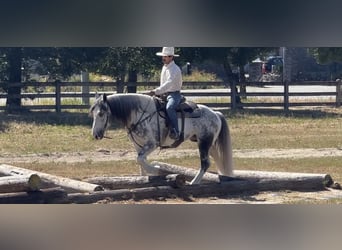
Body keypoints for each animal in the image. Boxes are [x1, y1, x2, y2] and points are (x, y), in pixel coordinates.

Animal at [88, 93, 234, 185]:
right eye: (92, 113)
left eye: (101, 114)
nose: (95, 135)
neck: (140, 114)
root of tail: (215, 113)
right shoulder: (138, 145)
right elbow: (140, 162)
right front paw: (143, 178)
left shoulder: (152, 144)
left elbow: (140, 159)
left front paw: (156, 170)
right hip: (209, 144)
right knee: (216, 159)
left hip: (204, 143)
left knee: (205, 163)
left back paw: (194, 182)